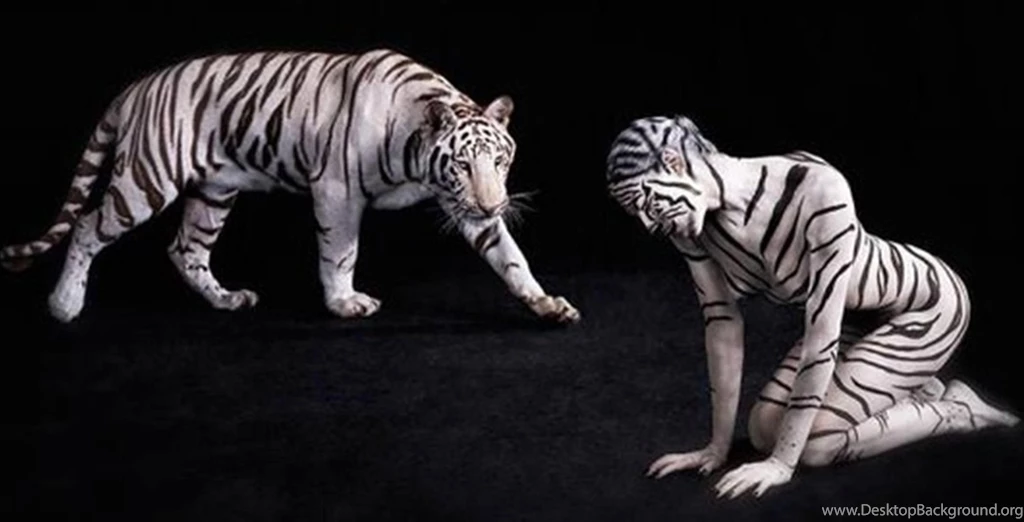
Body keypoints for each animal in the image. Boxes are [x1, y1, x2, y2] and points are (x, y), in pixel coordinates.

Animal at [0, 49, 580, 325]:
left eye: (500, 161)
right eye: (460, 164)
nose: (494, 202)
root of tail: (135, 88)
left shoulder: (464, 208)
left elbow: (511, 257)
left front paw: (545, 304)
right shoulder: (338, 192)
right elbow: (341, 253)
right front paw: (345, 303)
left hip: (214, 193)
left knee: (186, 249)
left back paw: (227, 300)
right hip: (146, 179)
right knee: (88, 225)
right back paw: (64, 305)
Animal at [605, 115, 1018, 498]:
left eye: (645, 204)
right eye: (636, 211)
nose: (650, 230)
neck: (731, 196)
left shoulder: (828, 202)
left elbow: (814, 357)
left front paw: (775, 468)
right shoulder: (693, 247)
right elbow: (724, 331)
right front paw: (711, 453)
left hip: (927, 328)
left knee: (816, 430)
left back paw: (971, 407)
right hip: (849, 331)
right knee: (772, 416)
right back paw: (946, 393)